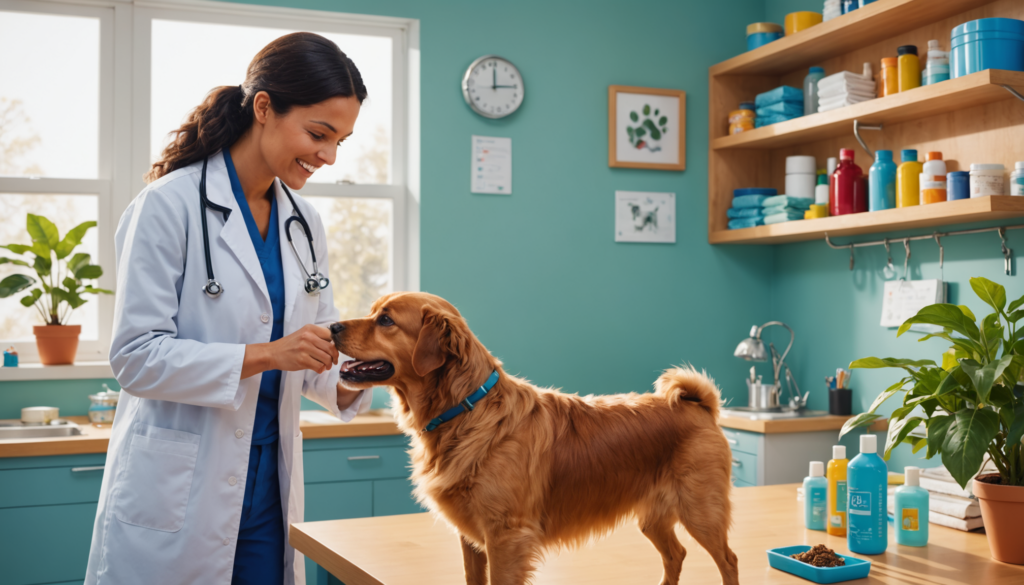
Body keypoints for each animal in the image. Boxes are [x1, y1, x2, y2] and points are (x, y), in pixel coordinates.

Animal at [331, 293, 741, 585]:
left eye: (385, 320)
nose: (332, 326)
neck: (466, 410)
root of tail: (698, 404)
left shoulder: (506, 539)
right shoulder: (471, 538)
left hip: (701, 511)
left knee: (729, 561)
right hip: (653, 517)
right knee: (676, 555)